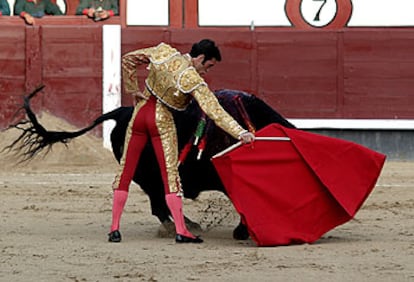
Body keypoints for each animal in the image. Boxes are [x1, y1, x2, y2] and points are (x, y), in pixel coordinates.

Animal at [8, 87, 296, 240]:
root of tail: (122, 111)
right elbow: (243, 201)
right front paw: (242, 231)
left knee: (159, 203)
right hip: (147, 175)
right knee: (158, 205)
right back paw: (181, 227)